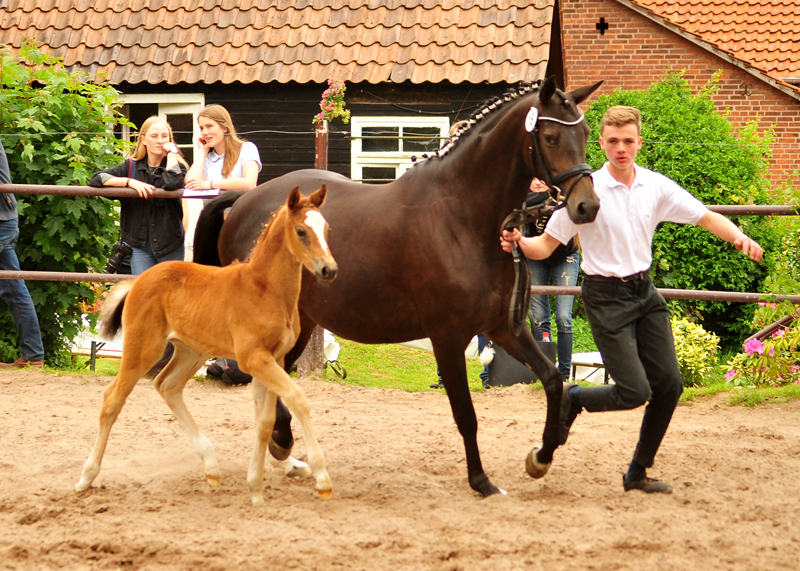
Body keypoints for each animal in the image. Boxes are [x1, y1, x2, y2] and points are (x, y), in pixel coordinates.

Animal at [73, 187, 336, 504]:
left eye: (326, 229)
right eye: (301, 231)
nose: (328, 269)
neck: (266, 289)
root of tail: (138, 281)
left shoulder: (276, 359)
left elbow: (265, 421)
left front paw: (256, 490)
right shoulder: (254, 359)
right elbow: (298, 399)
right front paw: (322, 480)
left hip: (191, 351)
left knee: (168, 385)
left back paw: (211, 466)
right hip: (144, 349)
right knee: (112, 399)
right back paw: (86, 477)